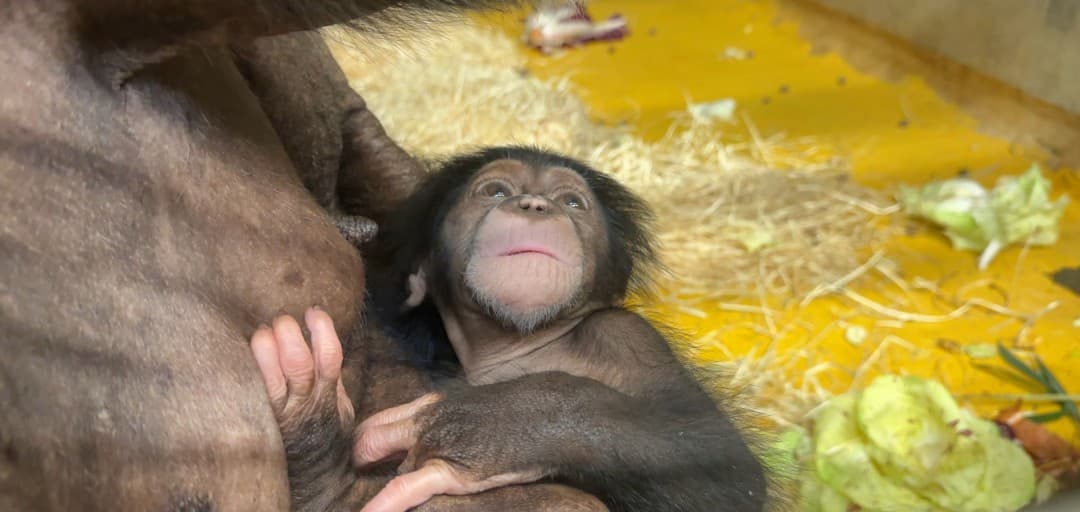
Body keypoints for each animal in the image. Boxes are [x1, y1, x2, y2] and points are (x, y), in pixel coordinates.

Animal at [251, 146, 768, 512]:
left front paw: (489, 429)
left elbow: (725, 470)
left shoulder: (629, 340)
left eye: (572, 201)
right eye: (496, 191)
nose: (535, 205)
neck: (522, 342)